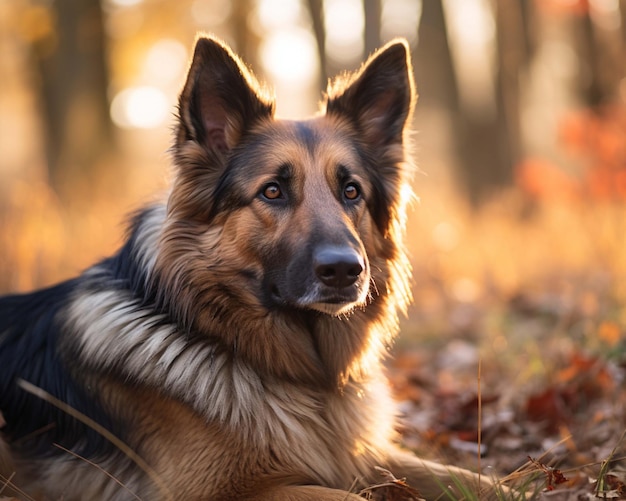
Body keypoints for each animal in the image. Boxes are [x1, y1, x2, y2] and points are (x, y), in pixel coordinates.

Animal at [0, 36, 500, 500]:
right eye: (273, 191)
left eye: (351, 191)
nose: (345, 271)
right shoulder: (229, 491)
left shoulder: (370, 456)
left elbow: (470, 479)